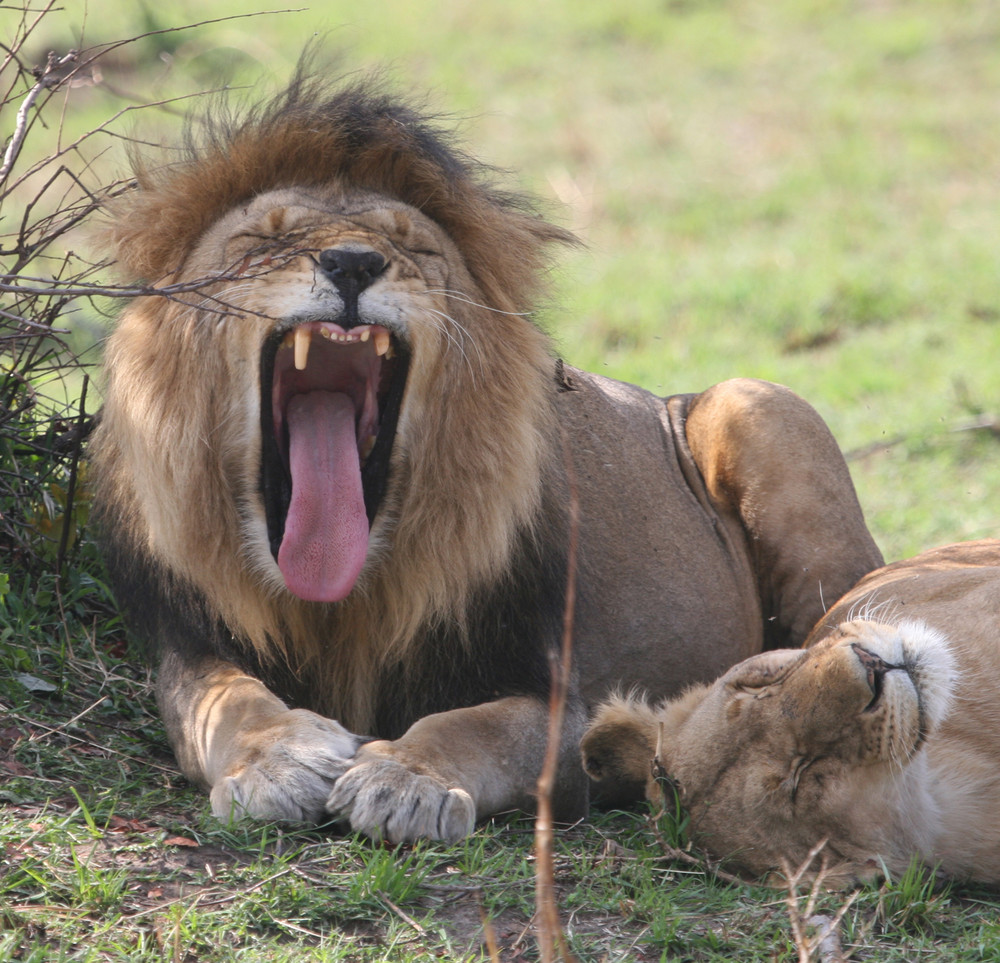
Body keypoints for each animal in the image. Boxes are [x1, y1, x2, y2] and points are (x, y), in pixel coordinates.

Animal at [88, 73, 884, 844]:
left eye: (415, 248)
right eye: (262, 240)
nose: (352, 262)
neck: (345, 600)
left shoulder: (559, 698)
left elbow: (472, 726)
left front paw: (404, 779)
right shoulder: (190, 645)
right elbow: (230, 703)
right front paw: (279, 760)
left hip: (762, 404)